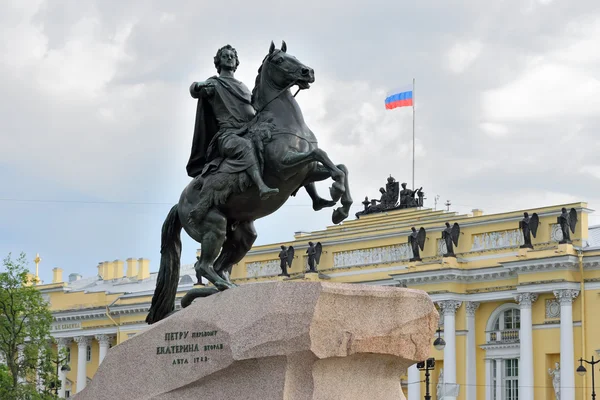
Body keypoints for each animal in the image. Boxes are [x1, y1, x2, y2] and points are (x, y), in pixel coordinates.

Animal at [146, 40, 352, 324]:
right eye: (279, 60)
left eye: (293, 55)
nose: (307, 72)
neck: (281, 122)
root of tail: (179, 205)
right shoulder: (285, 167)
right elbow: (321, 154)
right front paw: (336, 196)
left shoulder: (306, 172)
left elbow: (339, 167)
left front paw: (338, 204)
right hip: (214, 228)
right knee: (204, 266)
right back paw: (223, 288)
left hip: (242, 236)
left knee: (220, 267)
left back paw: (222, 290)